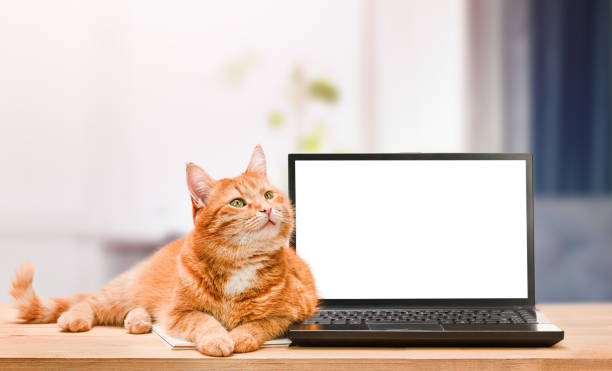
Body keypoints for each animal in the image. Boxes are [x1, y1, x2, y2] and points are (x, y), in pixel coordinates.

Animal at [9, 146, 318, 358]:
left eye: (268, 195)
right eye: (238, 203)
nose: (266, 209)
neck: (239, 263)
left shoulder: (292, 314)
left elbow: (260, 324)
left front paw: (240, 336)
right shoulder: (179, 313)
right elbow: (204, 321)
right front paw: (218, 338)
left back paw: (138, 320)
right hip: (123, 293)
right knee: (91, 301)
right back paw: (77, 317)